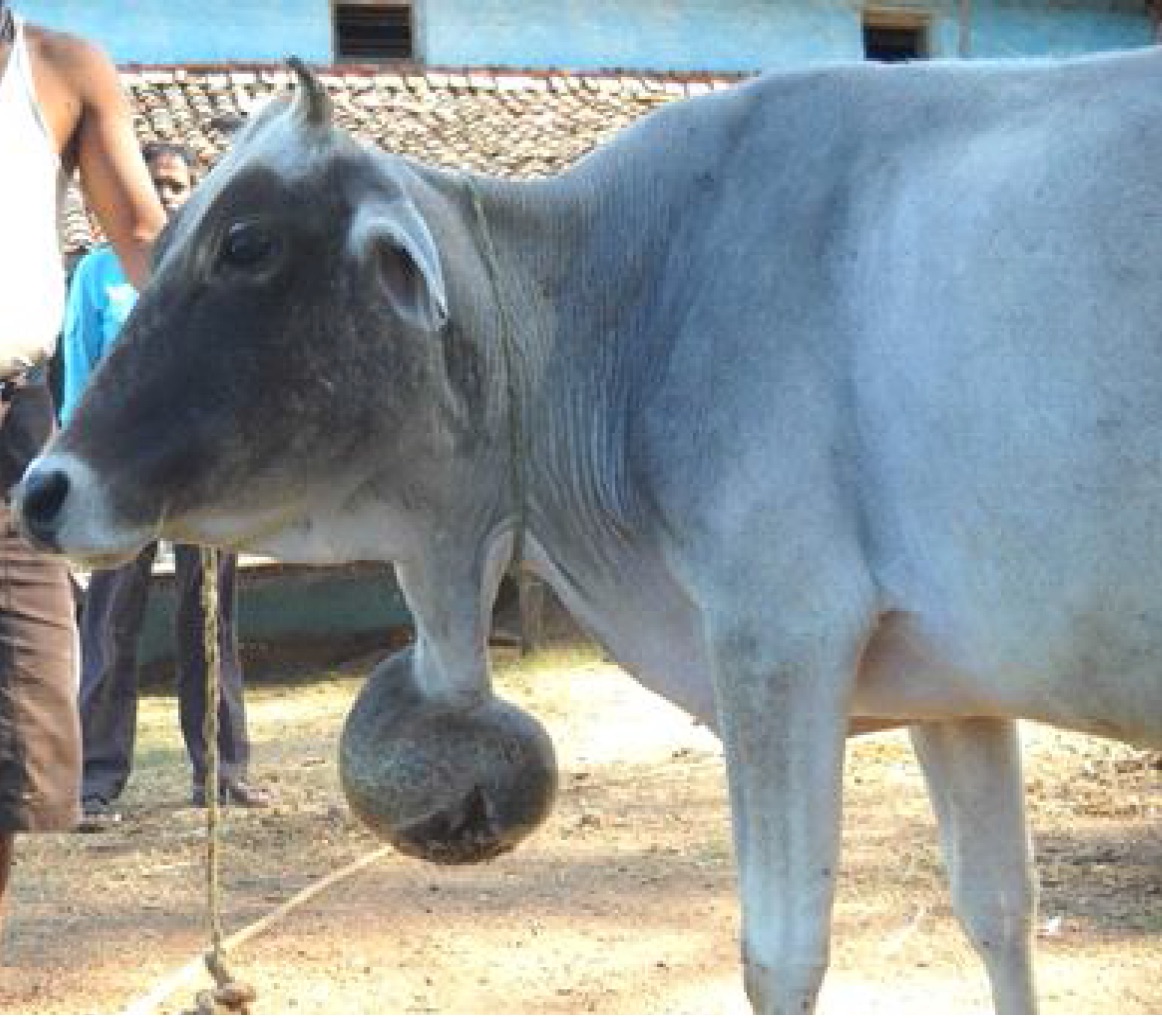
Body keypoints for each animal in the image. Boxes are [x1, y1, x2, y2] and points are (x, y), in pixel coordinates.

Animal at [15, 53, 1162, 1013]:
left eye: (245, 243)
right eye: (164, 241)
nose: (43, 489)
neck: (616, 303)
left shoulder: (779, 639)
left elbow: (781, 954)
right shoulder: (957, 688)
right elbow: (998, 911)